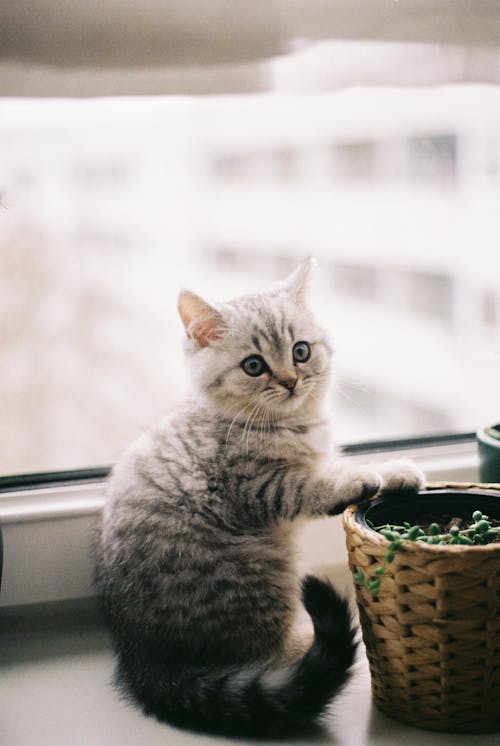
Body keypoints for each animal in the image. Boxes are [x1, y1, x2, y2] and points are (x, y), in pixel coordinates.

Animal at [95, 258, 424, 736]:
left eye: (301, 351)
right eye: (254, 365)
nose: (290, 381)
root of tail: (142, 657)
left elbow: (335, 464)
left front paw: (396, 470)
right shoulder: (255, 487)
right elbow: (309, 485)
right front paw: (361, 479)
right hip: (261, 574)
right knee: (264, 655)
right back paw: (305, 645)